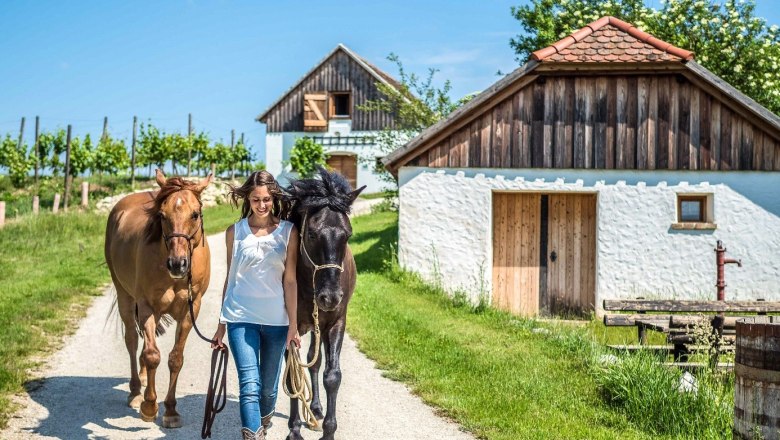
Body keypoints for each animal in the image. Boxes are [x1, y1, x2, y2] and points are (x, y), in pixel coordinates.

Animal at [104, 169, 213, 428]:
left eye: (195, 214)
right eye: (162, 215)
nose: (177, 264)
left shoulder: (190, 310)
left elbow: (175, 358)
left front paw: (171, 410)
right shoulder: (146, 307)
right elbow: (152, 355)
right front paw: (149, 405)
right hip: (125, 296)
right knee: (133, 340)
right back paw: (136, 391)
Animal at [282, 168, 365, 440]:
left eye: (348, 235)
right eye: (311, 234)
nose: (330, 297)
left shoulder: (336, 322)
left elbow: (332, 376)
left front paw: (329, 430)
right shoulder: (290, 328)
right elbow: (293, 376)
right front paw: (294, 429)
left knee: (315, 361)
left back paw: (316, 408)